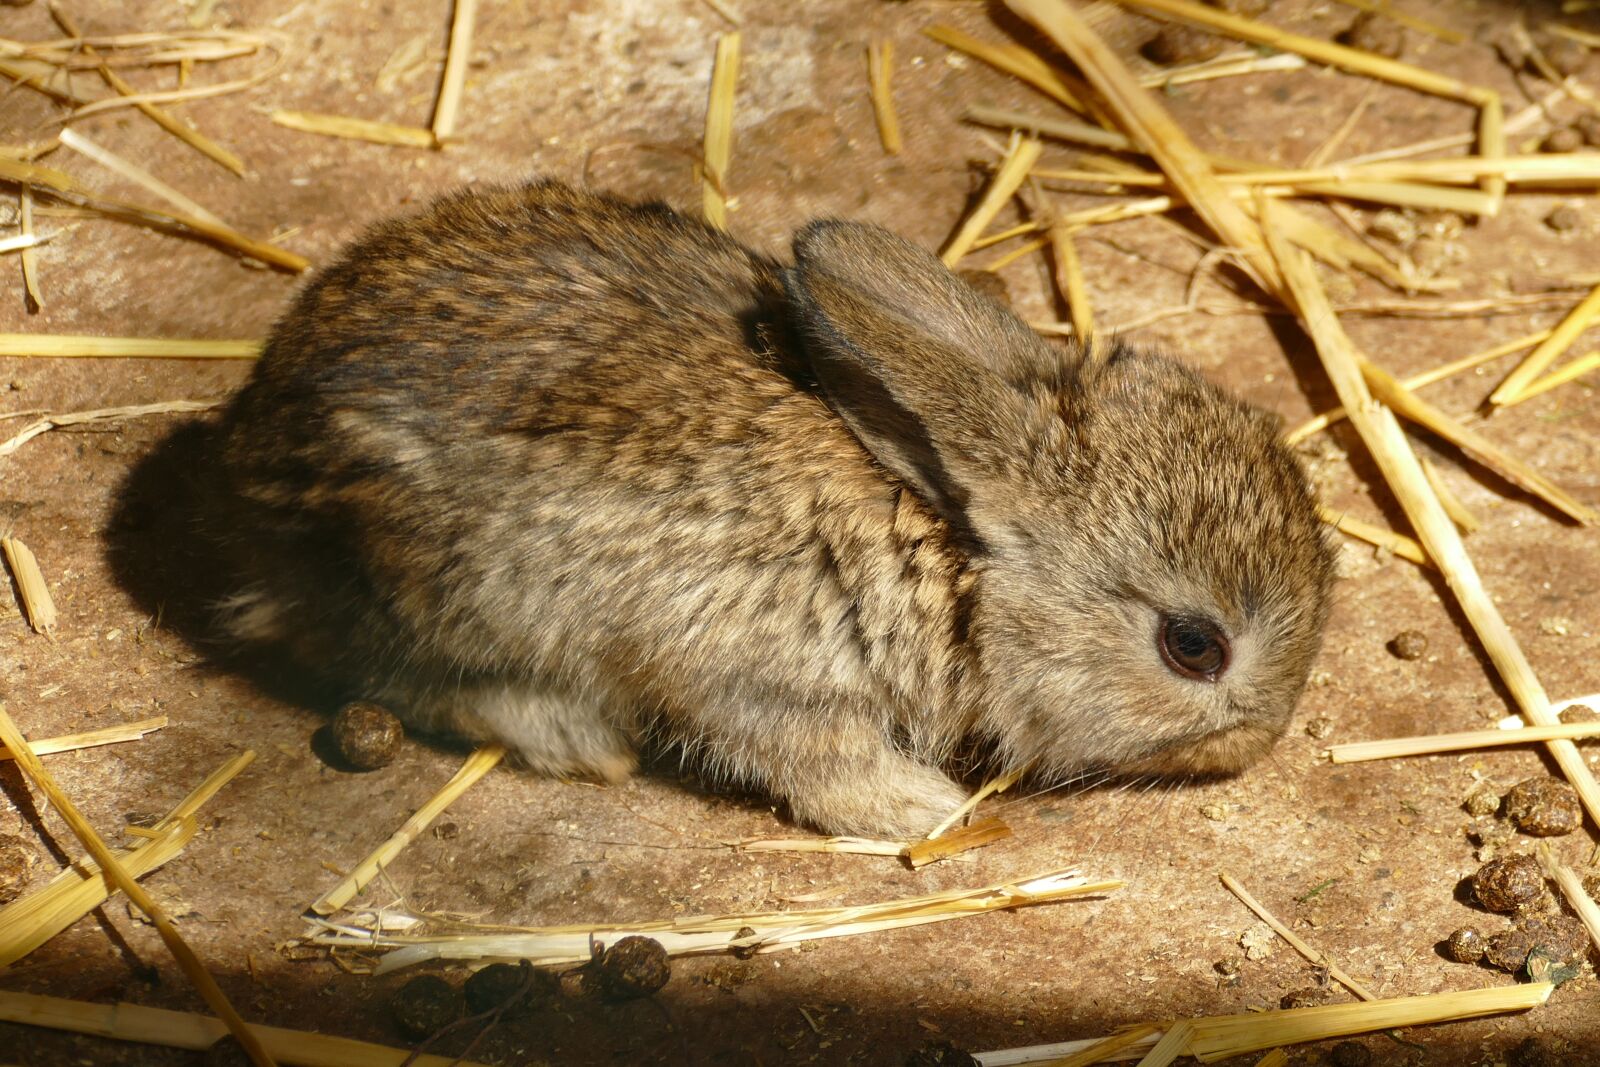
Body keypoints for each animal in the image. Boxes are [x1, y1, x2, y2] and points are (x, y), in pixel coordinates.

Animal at [208, 178, 1337, 838]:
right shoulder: (760, 676)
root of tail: (250, 482)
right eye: (1193, 646)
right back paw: (581, 742)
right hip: (449, 592)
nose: (1260, 740)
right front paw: (923, 809)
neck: (950, 553)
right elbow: (815, 762)